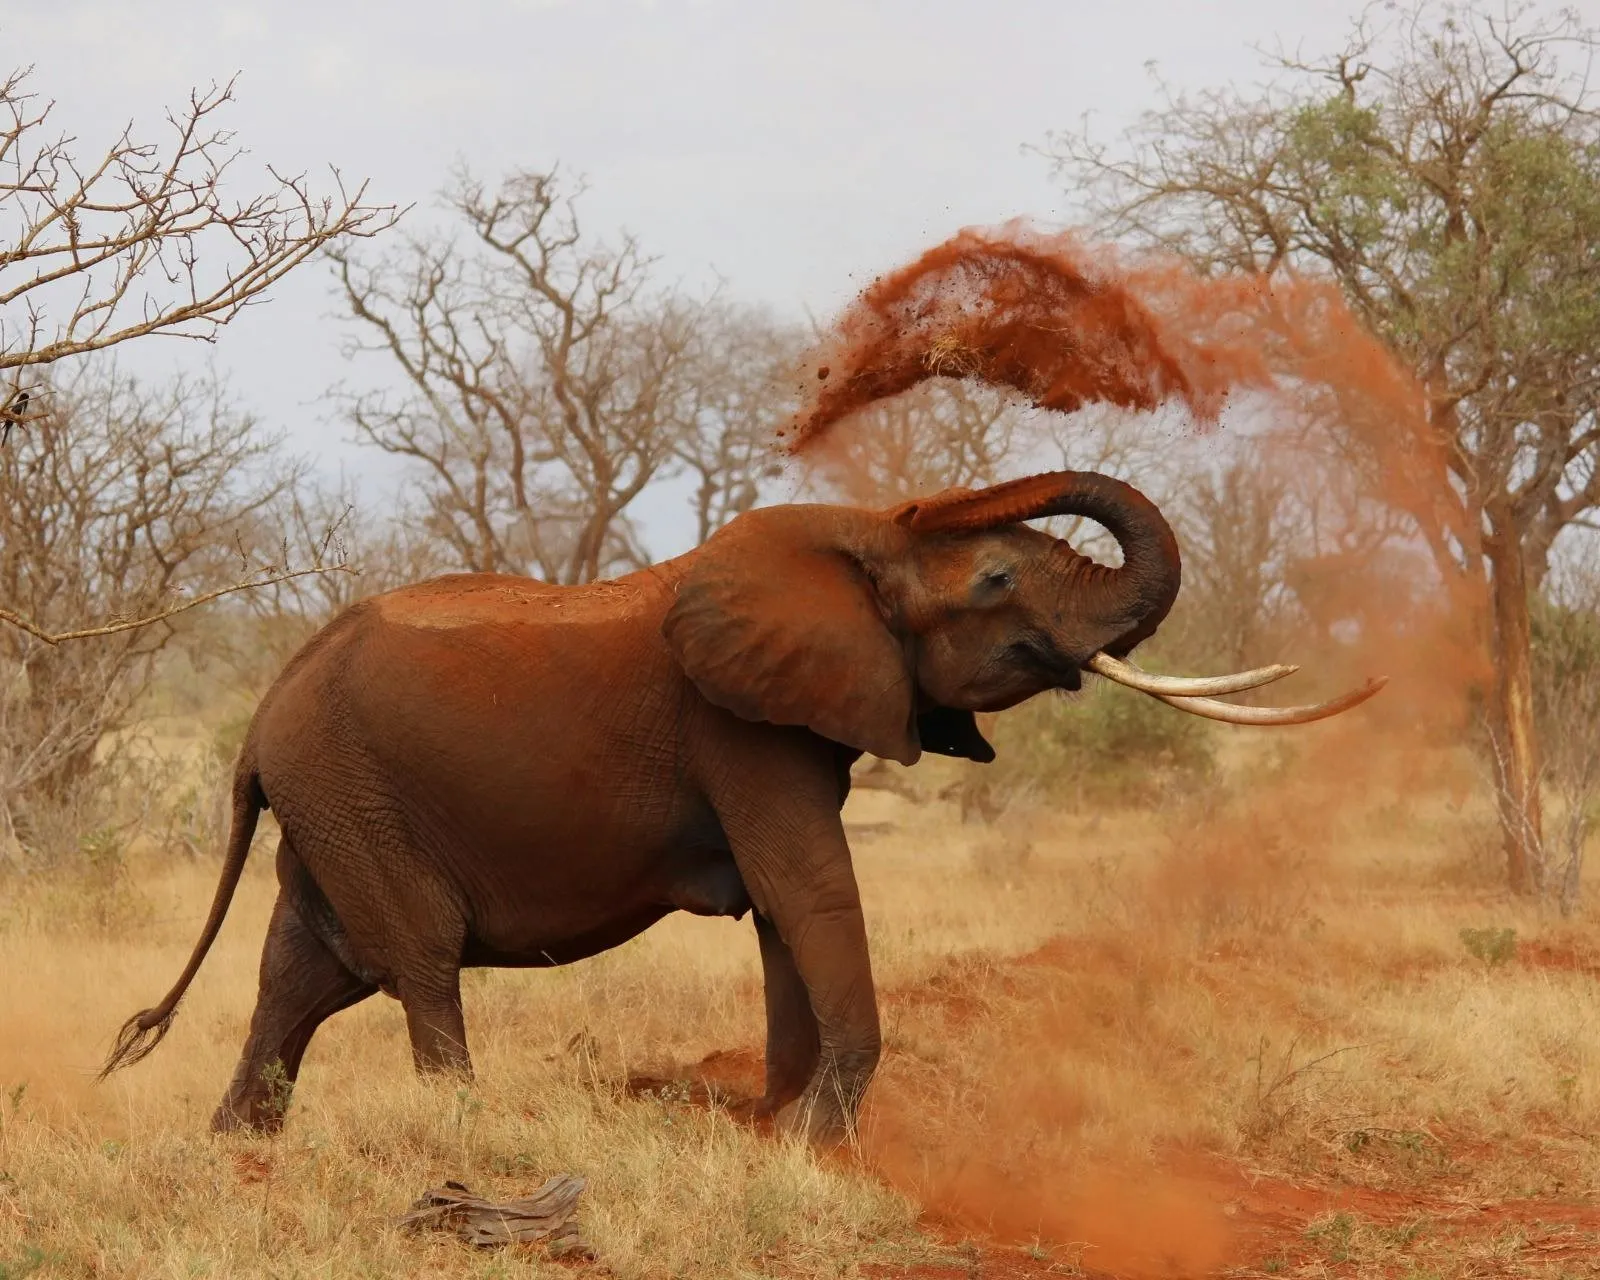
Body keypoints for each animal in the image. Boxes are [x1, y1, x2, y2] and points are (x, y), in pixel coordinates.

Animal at [100, 470, 1382, 1139]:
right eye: (997, 577)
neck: (855, 543)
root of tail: (263, 713)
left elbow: (783, 909)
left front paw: (776, 1125)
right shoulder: (740, 728)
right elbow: (807, 885)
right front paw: (818, 1141)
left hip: (330, 799)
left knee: (303, 971)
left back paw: (239, 1150)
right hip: (352, 789)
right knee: (413, 957)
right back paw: (465, 1131)